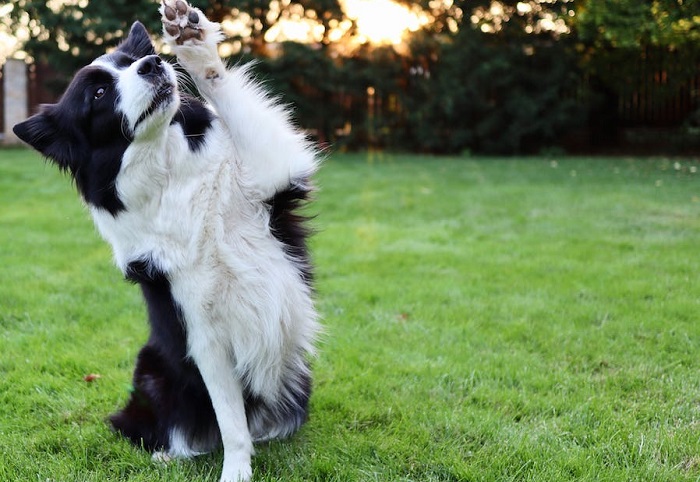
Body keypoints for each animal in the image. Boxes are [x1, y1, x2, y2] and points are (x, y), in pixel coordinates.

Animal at [13, 1, 320, 480]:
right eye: (98, 94)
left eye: (129, 62)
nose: (154, 63)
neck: (172, 174)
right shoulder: (202, 333)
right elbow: (231, 422)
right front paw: (236, 471)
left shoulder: (273, 176)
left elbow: (223, 91)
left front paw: (193, 45)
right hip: (150, 368)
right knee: (168, 428)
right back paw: (168, 453)